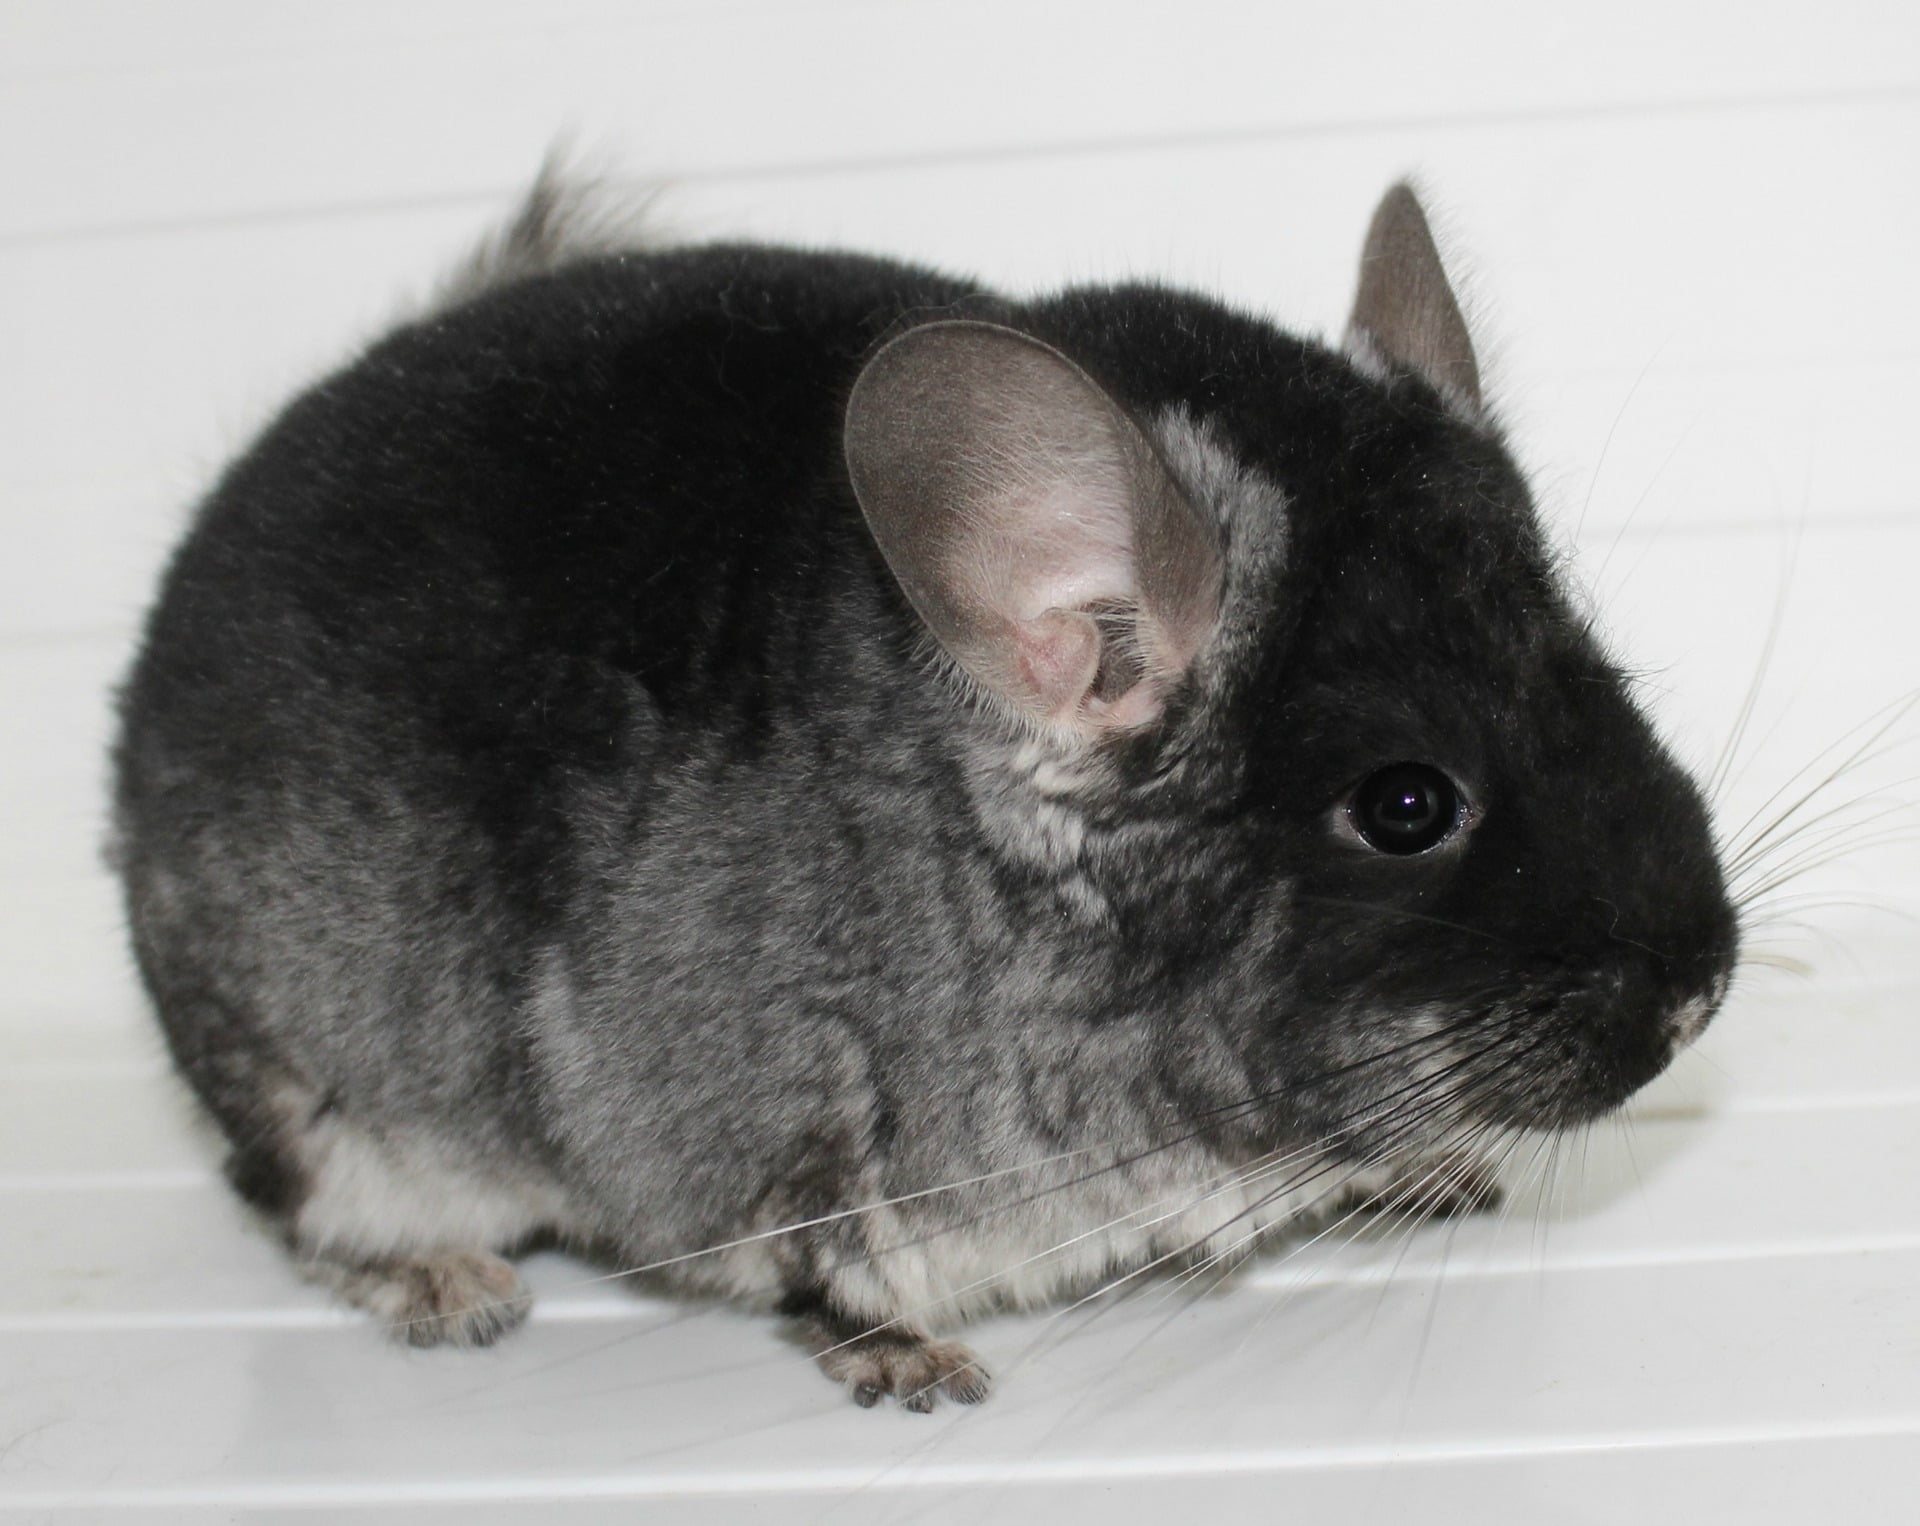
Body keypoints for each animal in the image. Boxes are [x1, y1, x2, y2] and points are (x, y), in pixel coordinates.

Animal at [110, 175, 1738, 1411]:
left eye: (1606, 676)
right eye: (1406, 806)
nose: (1699, 995)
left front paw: (1431, 1170)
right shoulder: (765, 1130)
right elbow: (815, 1267)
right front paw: (912, 1365)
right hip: (308, 1081)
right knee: (291, 1203)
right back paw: (446, 1284)